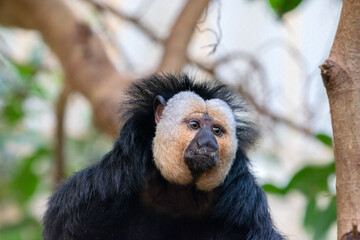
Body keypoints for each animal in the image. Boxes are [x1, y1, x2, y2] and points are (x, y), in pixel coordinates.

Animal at [43, 74, 284, 239]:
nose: (208, 144)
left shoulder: (243, 198)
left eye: (217, 131)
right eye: (194, 125)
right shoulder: (114, 179)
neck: (178, 191)